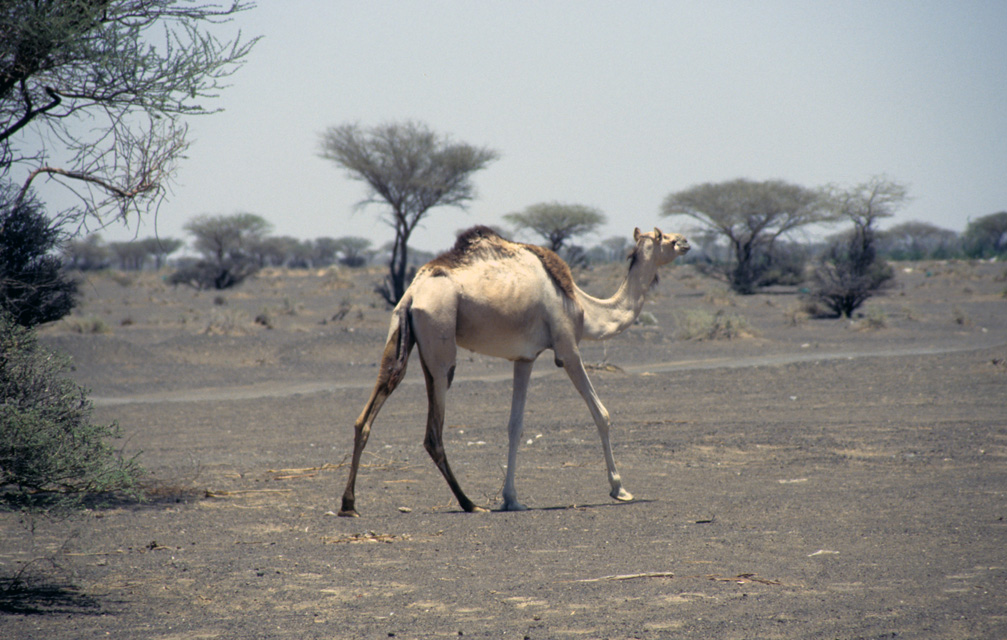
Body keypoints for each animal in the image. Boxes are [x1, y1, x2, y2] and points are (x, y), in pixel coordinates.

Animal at [342, 225, 688, 515]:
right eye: (666, 237)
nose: (686, 241)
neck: (583, 308)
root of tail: (412, 294)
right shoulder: (567, 348)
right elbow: (600, 413)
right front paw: (620, 489)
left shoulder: (525, 358)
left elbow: (515, 425)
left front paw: (511, 499)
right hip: (440, 340)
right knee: (433, 432)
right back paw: (469, 503)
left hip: (400, 332)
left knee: (373, 404)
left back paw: (349, 504)